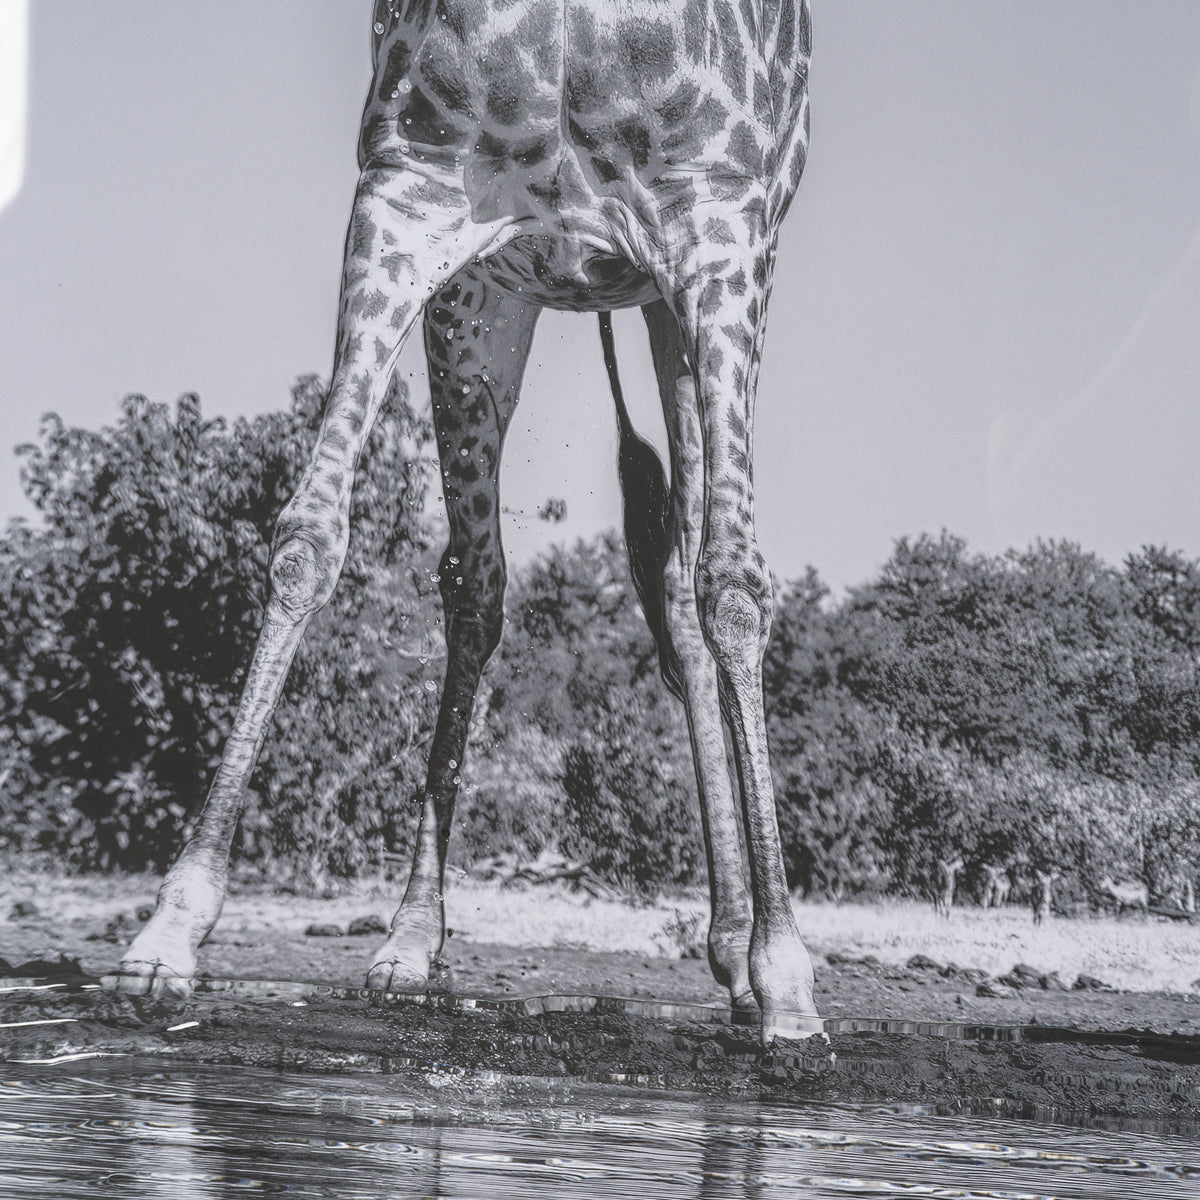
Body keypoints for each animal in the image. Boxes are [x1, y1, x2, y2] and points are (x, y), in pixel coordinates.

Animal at [117, 0, 818, 1039]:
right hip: (491, 299)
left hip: (675, 302)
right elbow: (309, 538)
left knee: (690, 588)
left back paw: (739, 953)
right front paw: (167, 934)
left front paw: (787, 980)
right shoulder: (410, 196)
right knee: (483, 587)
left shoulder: (719, 229)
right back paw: (412, 938)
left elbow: (733, 584)